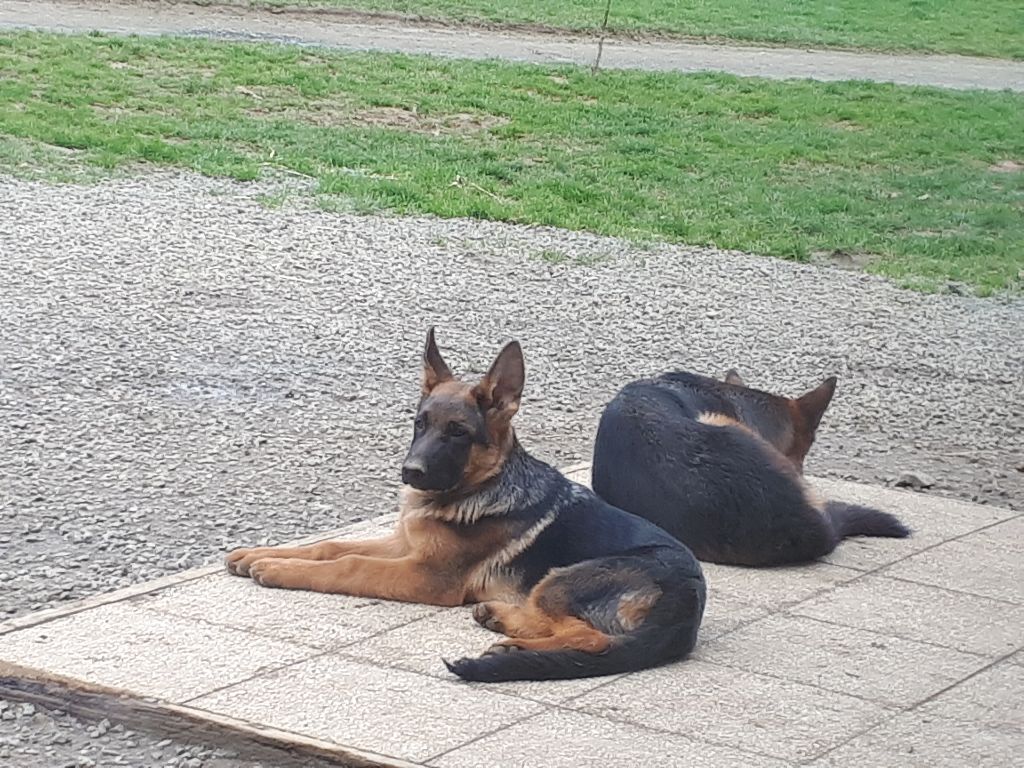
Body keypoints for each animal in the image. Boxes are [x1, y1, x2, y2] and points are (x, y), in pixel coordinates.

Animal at [225, 331, 708, 684]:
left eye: (458, 432)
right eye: (420, 424)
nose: (410, 473)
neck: (478, 486)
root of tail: (689, 601)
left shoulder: (425, 575)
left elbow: (350, 565)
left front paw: (277, 568)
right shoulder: (404, 544)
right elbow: (331, 548)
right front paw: (258, 554)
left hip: (564, 579)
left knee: (592, 640)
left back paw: (516, 647)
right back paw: (501, 619)